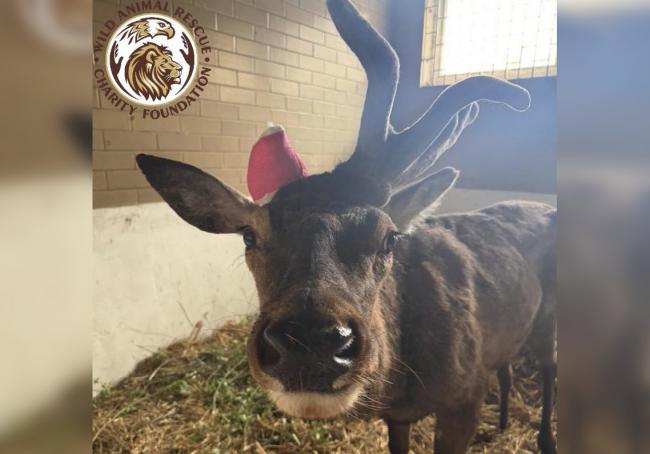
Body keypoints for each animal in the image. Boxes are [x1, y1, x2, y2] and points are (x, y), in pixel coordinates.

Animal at [134, 0, 556, 452]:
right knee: (508, 367)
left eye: (389, 237)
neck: (405, 379)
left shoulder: (465, 394)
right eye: (249, 235)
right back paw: (503, 423)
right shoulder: (397, 414)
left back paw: (546, 438)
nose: (309, 343)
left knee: (550, 370)